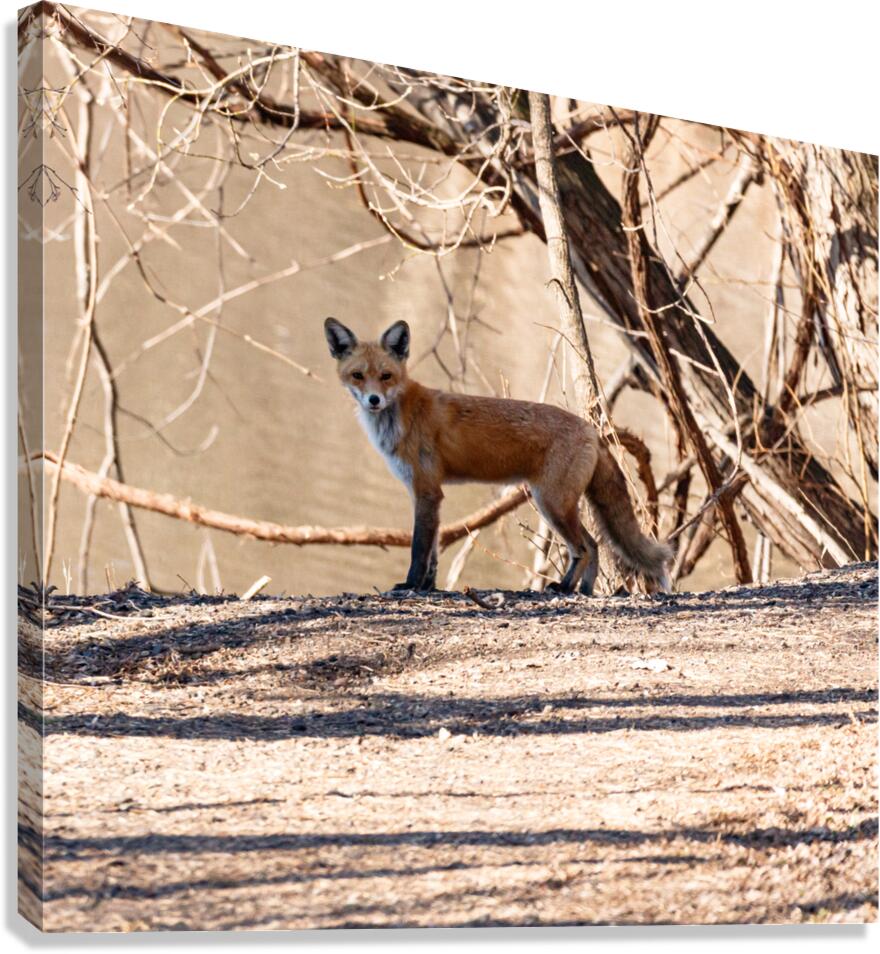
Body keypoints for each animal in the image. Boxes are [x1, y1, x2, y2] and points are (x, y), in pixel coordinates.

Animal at [324, 317, 673, 595]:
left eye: (386, 376)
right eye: (357, 375)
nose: (373, 400)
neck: (401, 415)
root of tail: (592, 430)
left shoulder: (427, 490)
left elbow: (419, 550)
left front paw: (410, 585)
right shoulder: (425, 493)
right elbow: (433, 551)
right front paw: (427, 587)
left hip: (552, 503)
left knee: (584, 547)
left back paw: (564, 588)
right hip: (558, 504)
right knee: (595, 545)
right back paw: (580, 589)